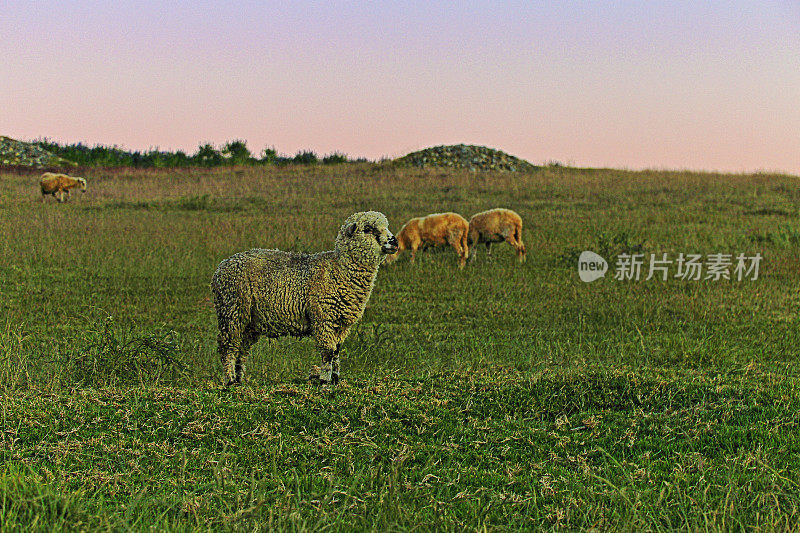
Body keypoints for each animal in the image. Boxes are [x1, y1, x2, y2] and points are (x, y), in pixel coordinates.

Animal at [211, 209, 398, 386]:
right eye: (368, 229)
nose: (394, 241)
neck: (339, 269)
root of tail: (222, 266)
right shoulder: (323, 319)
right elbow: (328, 352)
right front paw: (325, 380)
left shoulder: (341, 324)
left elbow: (336, 351)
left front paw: (336, 379)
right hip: (232, 310)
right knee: (228, 346)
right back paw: (229, 379)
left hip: (249, 321)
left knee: (241, 350)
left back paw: (239, 379)